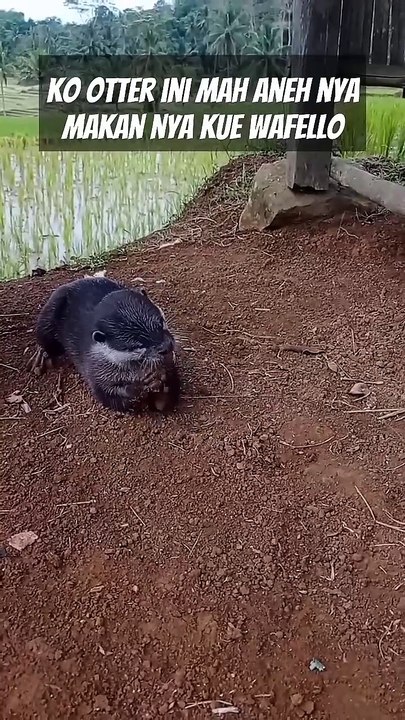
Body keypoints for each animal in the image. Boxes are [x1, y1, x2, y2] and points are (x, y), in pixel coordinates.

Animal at [27, 276, 180, 413]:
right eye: (137, 345)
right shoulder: (95, 370)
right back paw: (40, 357)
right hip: (50, 313)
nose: (166, 346)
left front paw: (163, 380)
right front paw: (138, 387)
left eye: (160, 323)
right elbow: (106, 395)